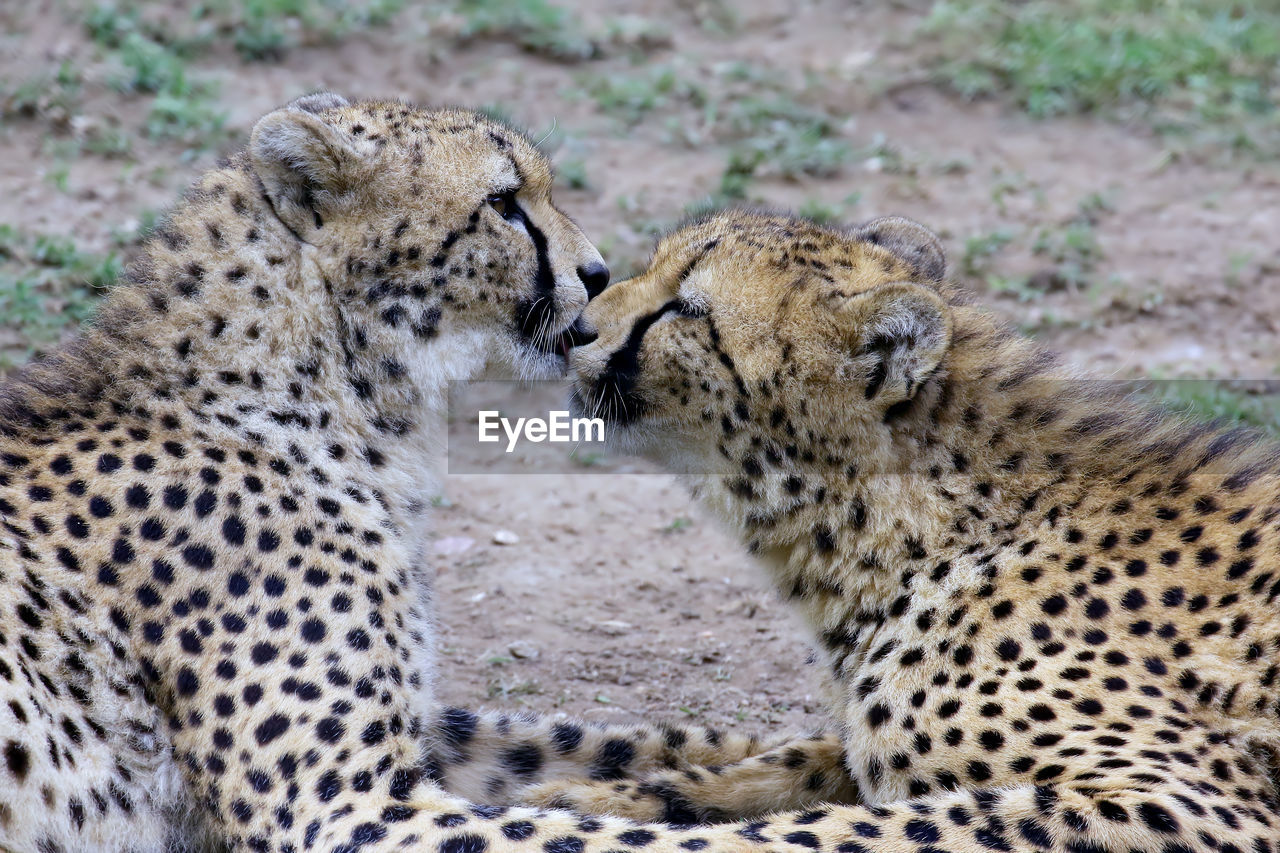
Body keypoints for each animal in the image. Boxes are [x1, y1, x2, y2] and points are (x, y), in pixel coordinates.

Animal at [0, 92, 798, 850]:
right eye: (505, 203)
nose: (599, 274)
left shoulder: (420, 740)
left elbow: (600, 744)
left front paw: (800, 759)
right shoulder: (341, 807)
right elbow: (632, 837)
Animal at [542, 207, 1280, 850]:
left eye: (688, 310)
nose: (574, 329)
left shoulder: (1193, 803)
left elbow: (825, 829)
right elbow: (790, 764)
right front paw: (578, 795)